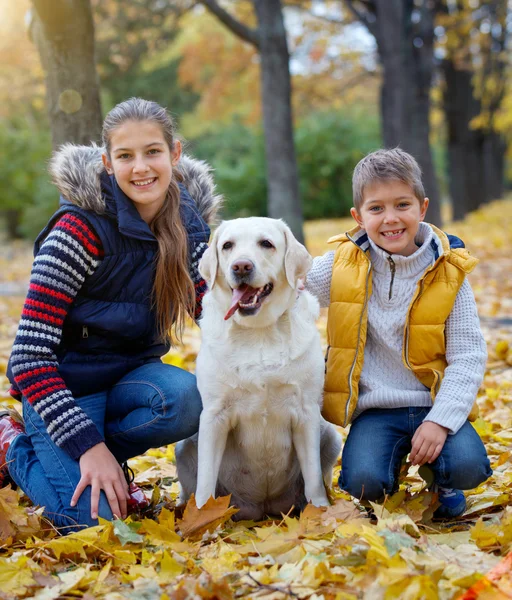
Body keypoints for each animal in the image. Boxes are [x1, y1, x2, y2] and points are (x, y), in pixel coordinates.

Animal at [175, 217, 340, 520]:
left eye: (266, 243)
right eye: (227, 245)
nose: (241, 266)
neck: (259, 331)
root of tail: (262, 508)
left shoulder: (306, 413)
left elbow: (312, 476)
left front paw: (319, 513)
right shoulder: (214, 416)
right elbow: (205, 482)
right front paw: (203, 519)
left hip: (331, 436)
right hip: (184, 447)